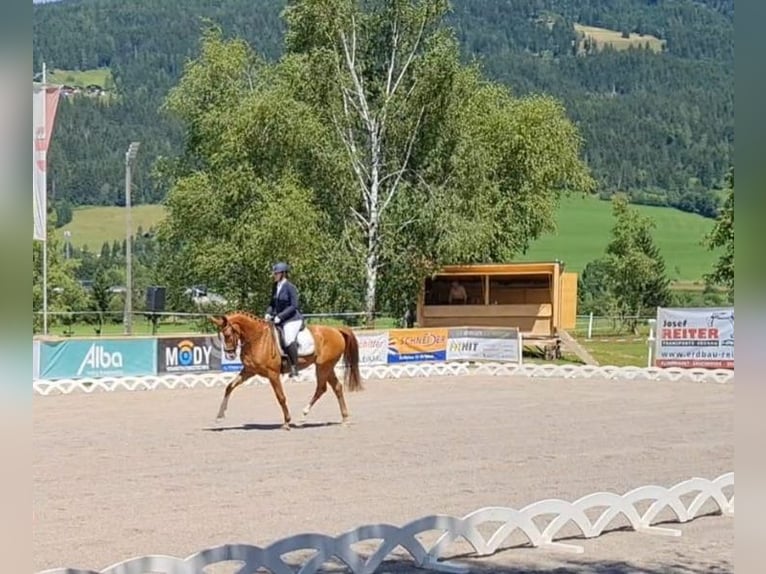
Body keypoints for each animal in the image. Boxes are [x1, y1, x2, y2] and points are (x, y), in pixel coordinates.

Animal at [210, 312, 366, 430]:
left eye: (228, 334)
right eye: (222, 335)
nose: (230, 355)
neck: (257, 338)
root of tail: (336, 330)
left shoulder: (272, 374)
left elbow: (281, 397)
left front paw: (286, 422)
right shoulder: (249, 371)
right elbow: (229, 387)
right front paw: (219, 416)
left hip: (323, 366)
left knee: (321, 388)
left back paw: (303, 416)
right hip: (327, 367)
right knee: (336, 387)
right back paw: (344, 418)